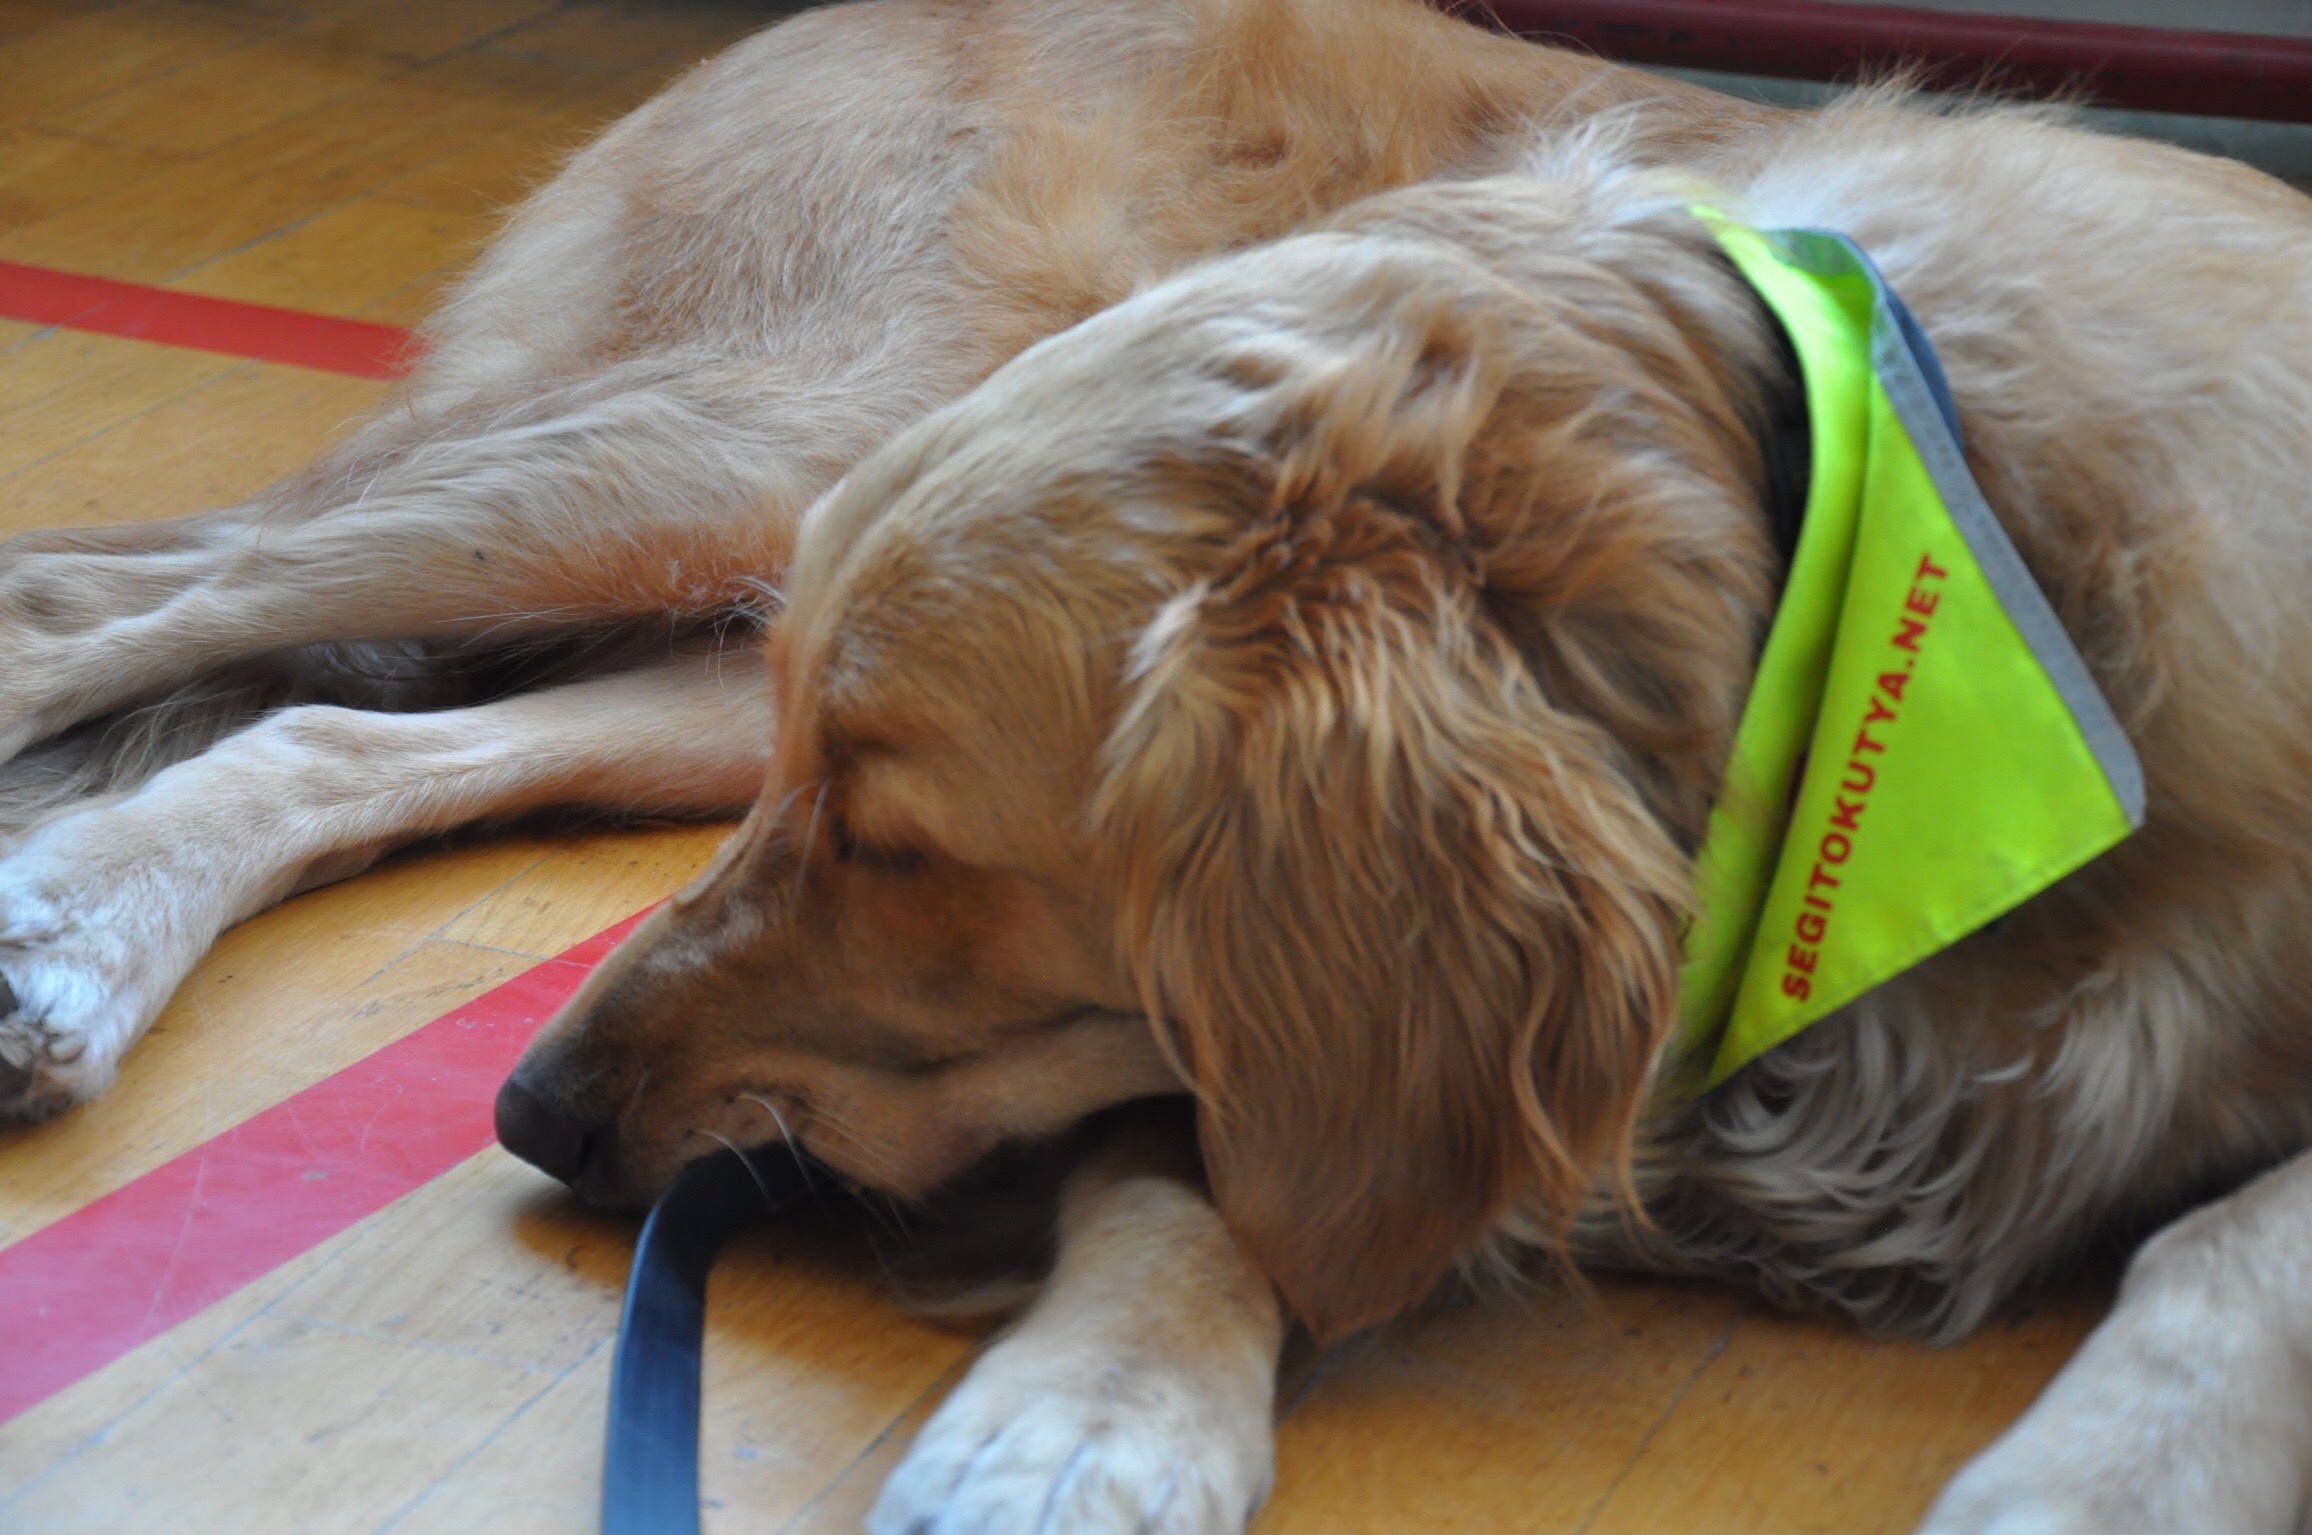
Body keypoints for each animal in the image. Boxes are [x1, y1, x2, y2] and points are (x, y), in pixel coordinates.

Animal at [7, 0, 2312, 1530]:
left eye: (897, 840)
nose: (531, 1110)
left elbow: (2230, 1250)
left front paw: (2091, 1482)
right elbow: (1218, 1171)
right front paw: (1083, 1424)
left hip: (740, 588)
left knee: (337, 716)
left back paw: (91, 926)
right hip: (742, 456)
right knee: (97, 599)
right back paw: (66, 928)